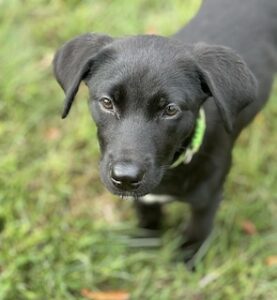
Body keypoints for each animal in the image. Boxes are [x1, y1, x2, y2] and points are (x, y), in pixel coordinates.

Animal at [52, 0, 276, 262]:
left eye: (170, 110)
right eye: (107, 103)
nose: (125, 178)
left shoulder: (208, 198)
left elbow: (197, 232)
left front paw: (187, 263)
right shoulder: (145, 197)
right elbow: (147, 215)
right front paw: (145, 245)